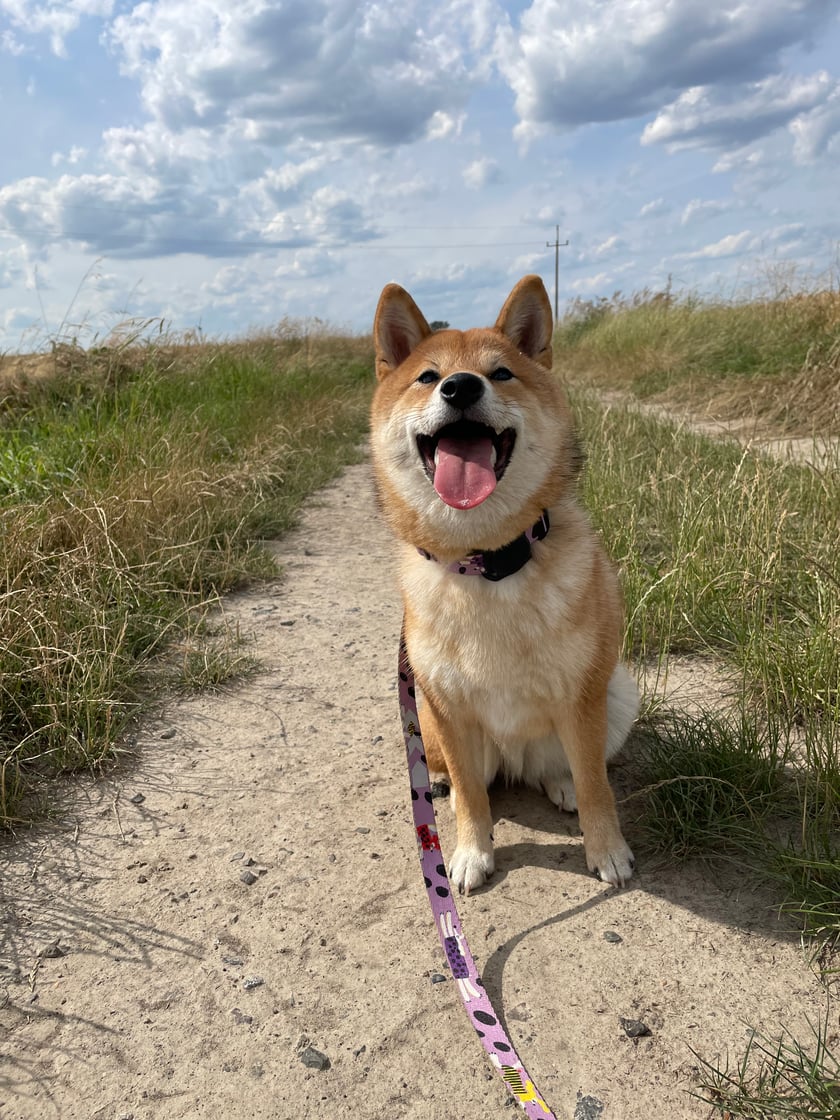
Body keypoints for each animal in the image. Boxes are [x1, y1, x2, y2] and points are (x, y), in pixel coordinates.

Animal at [371, 277, 640, 891]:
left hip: (616, 695)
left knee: (567, 768)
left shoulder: (581, 696)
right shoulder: (448, 708)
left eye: (500, 373)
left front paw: (607, 850)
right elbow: (474, 796)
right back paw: (442, 788)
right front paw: (471, 853)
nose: (461, 386)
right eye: (428, 376)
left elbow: (597, 785)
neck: (487, 563)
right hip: (426, 719)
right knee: (463, 778)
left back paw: (560, 784)